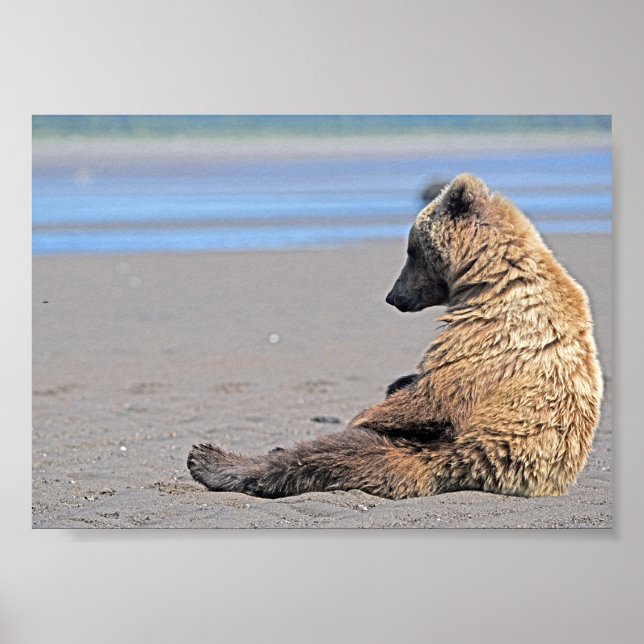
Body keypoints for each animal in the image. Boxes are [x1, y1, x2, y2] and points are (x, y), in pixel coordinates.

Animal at [187, 174, 603, 499]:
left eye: (410, 249)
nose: (393, 296)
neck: (489, 276)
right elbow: (415, 384)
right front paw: (396, 382)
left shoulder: (490, 335)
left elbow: (436, 396)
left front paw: (363, 414)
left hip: (444, 454)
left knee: (330, 456)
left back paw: (211, 460)